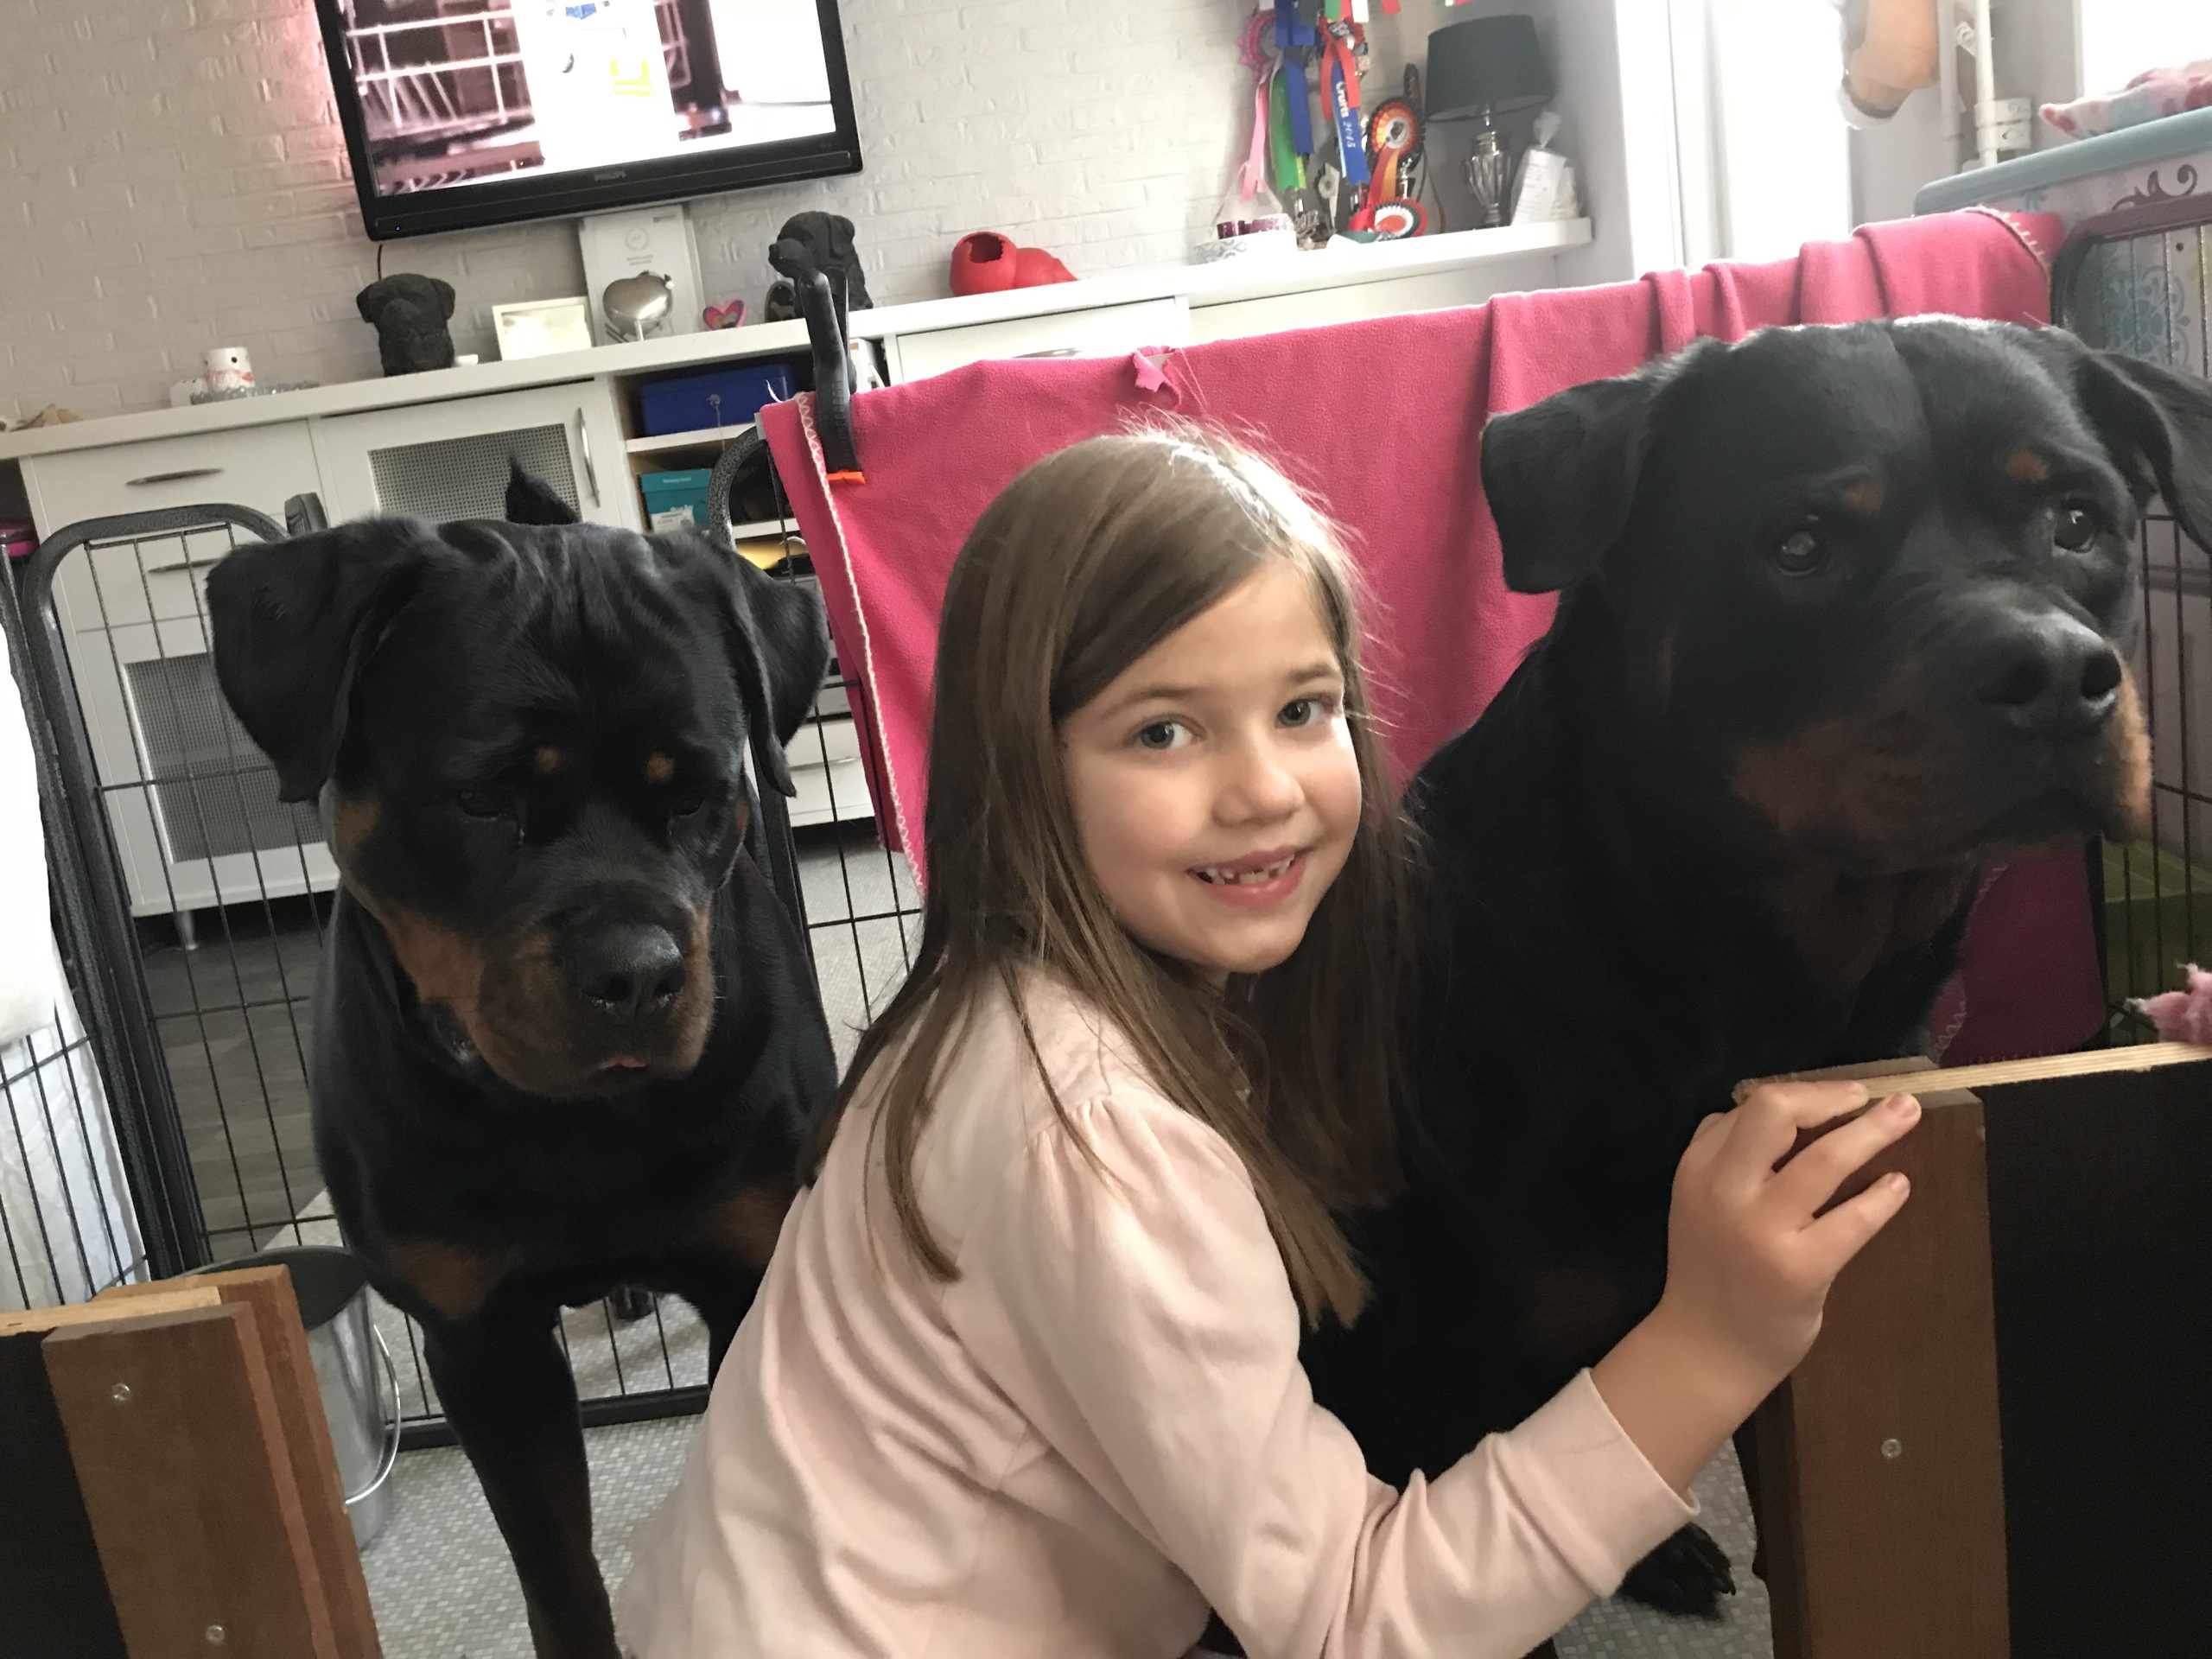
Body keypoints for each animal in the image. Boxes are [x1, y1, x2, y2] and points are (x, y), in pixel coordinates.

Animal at [207, 490, 838, 1659]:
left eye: (700, 794)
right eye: (480, 799)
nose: (637, 972)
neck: (567, 1130)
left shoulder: (750, 1269)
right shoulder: (481, 1343)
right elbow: (555, 1566)